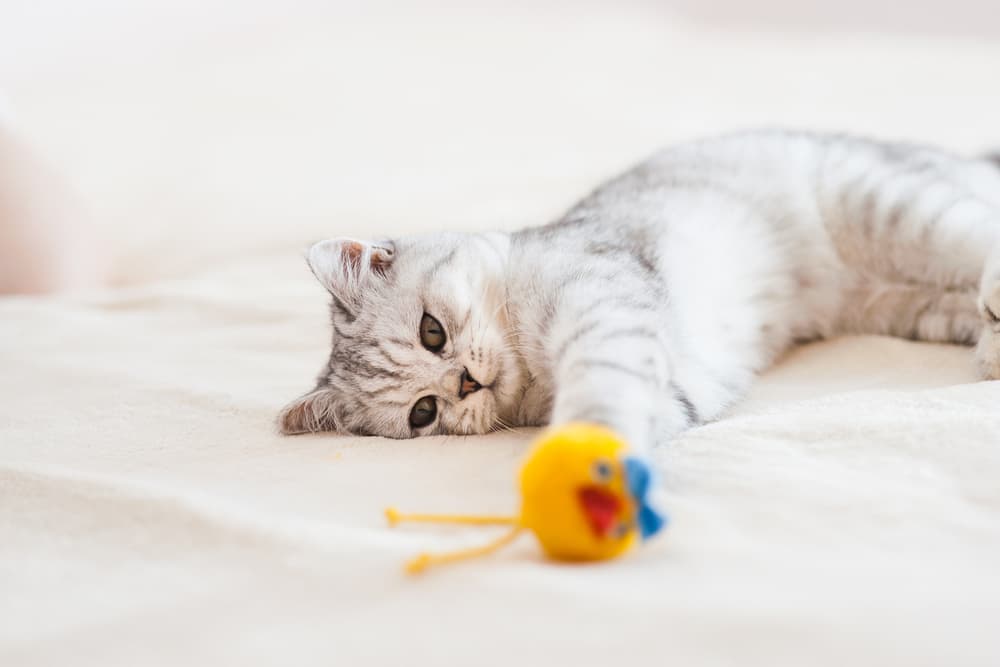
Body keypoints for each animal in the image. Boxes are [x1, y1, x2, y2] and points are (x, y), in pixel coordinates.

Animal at [276, 130, 1000, 454]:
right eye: (424, 413)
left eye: (434, 330)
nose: (463, 384)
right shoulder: (679, 394)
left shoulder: (604, 303)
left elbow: (600, 388)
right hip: (907, 301)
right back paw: (991, 341)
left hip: (896, 210)